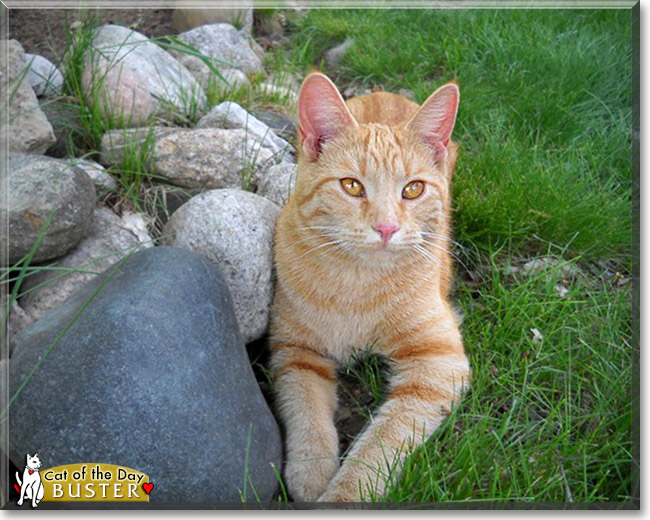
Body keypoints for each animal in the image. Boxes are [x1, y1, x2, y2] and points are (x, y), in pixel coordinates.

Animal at [266, 71, 468, 502]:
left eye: (413, 189)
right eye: (351, 186)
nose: (387, 228)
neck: (358, 283)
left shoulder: (438, 363)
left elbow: (383, 441)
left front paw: (344, 494)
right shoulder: (296, 350)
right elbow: (305, 407)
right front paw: (311, 473)